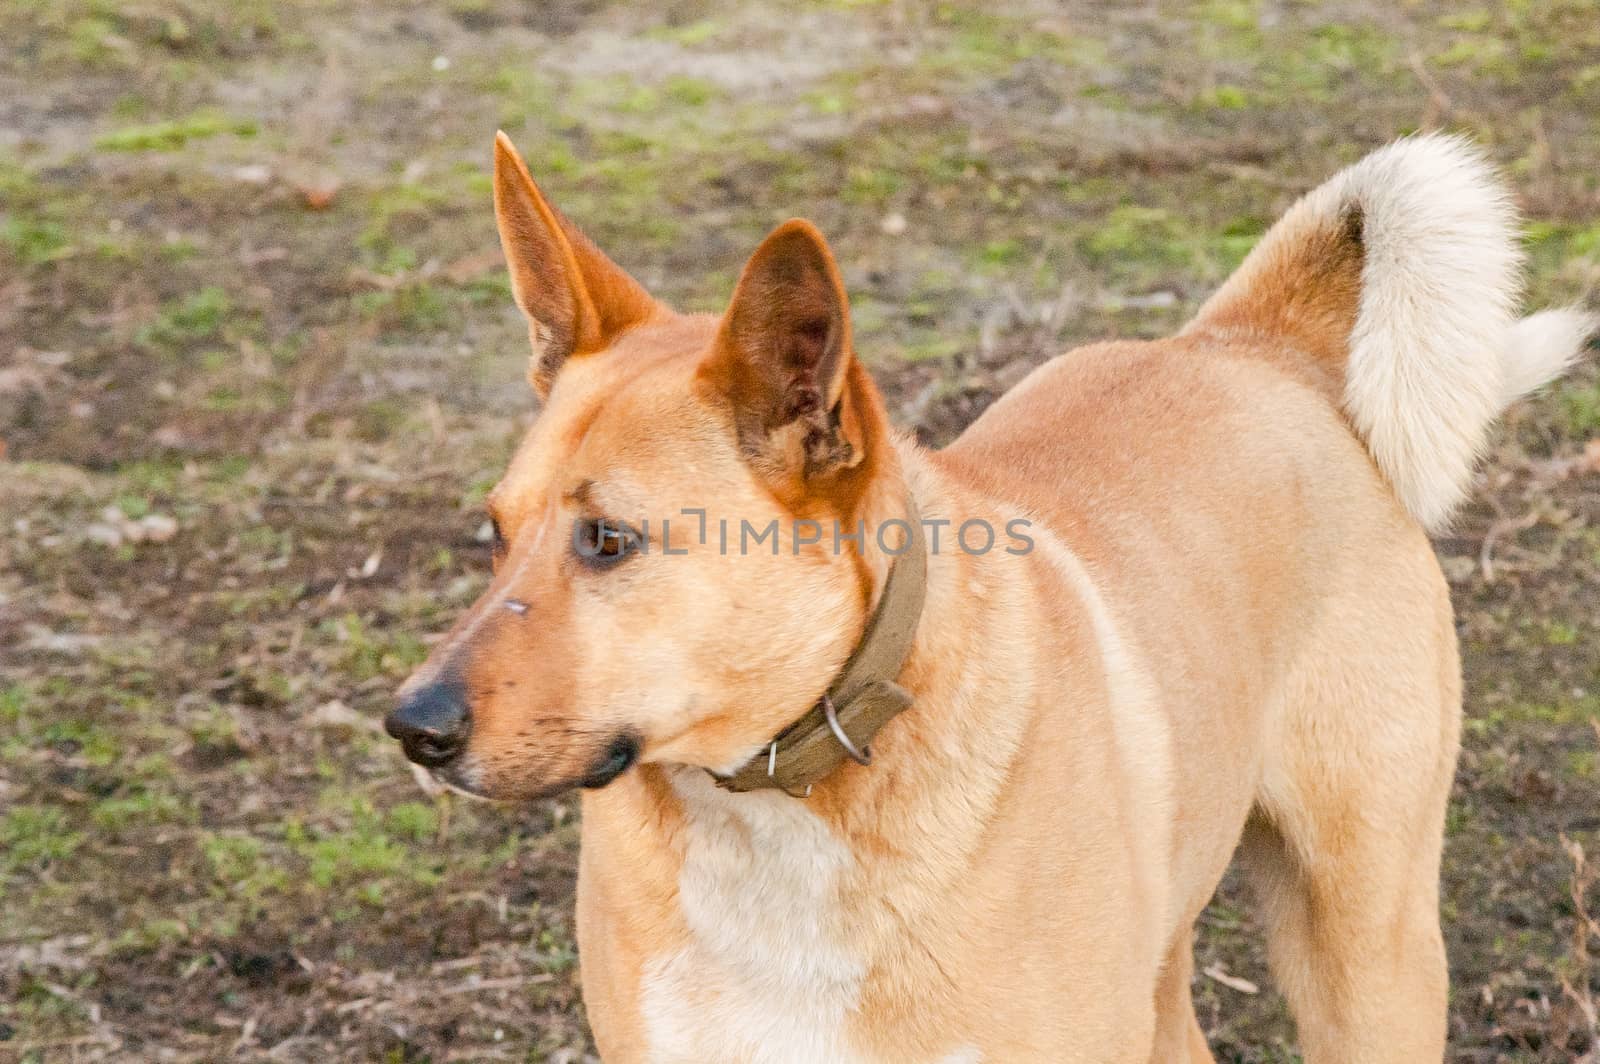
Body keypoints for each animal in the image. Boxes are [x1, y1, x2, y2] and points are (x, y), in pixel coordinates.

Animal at [390, 135, 1600, 1062]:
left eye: (609, 541)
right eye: (492, 533)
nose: (414, 726)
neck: (783, 800)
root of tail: (1255, 348)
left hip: (1364, 946)